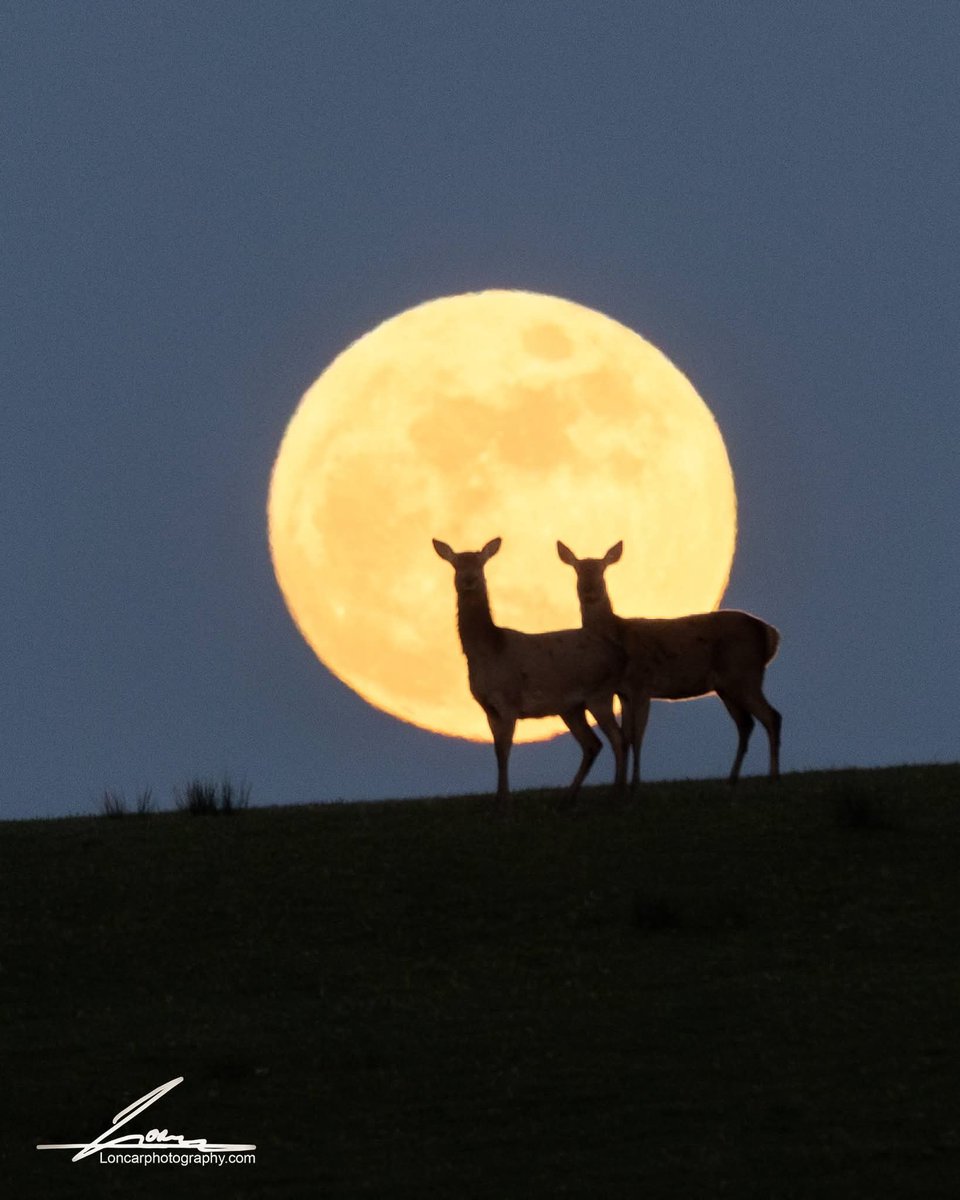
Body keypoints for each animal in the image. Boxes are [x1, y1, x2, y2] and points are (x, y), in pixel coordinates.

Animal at [433, 537, 626, 806]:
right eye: (456, 564)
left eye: (480, 562)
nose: (469, 579)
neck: (490, 651)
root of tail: (616, 653)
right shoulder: (488, 707)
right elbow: (497, 750)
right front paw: (498, 802)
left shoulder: (509, 701)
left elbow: (505, 749)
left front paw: (505, 803)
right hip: (571, 706)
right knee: (592, 743)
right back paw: (567, 799)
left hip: (599, 692)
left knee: (617, 738)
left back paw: (616, 795)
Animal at [557, 540, 781, 790]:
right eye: (577, 570)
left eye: (602, 569)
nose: (590, 590)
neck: (618, 638)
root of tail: (770, 633)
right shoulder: (622, 692)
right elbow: (625, 737)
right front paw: (623, 783)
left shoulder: (641, 685)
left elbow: (636, 736)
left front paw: (635, 784)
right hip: (728, 685)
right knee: (746, 724)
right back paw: (731, 779)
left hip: (744, 674)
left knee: (772, 717)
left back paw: (773, 776)